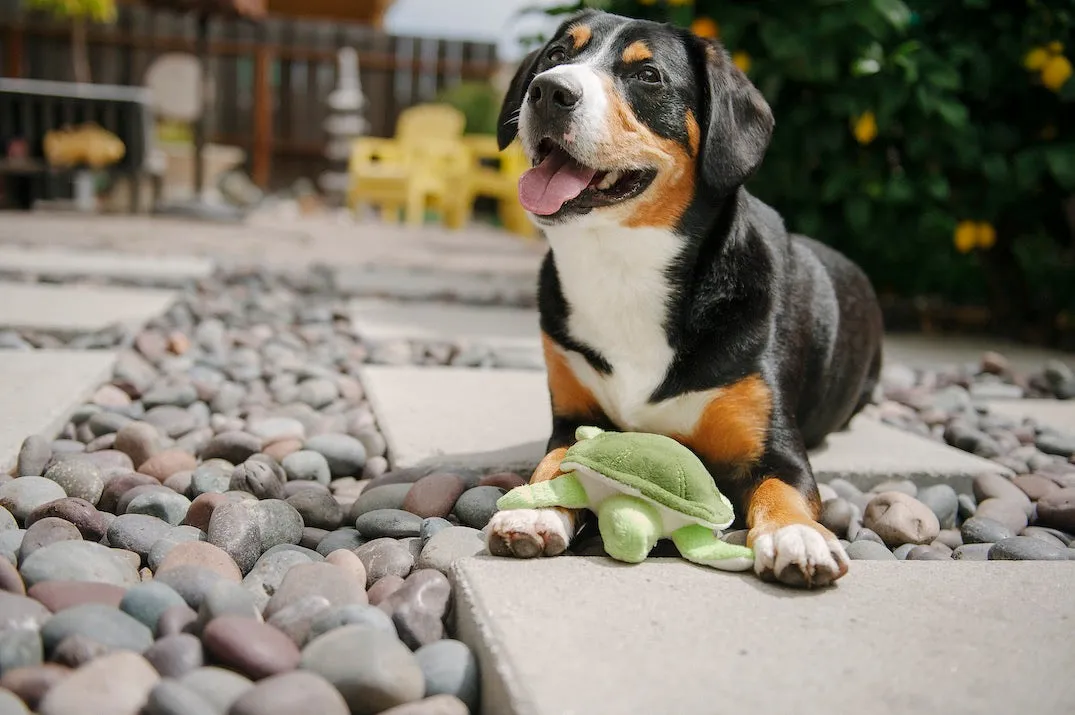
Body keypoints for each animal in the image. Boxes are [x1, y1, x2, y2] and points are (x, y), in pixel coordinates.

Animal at [488, 9, 881, 584]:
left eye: (648, 75)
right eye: (557, 55)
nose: (548, 90)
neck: (623, 267)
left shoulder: (776, 446)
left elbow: (781, 487)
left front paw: (797, 536)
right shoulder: (570, 418)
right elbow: (554, 461)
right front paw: (533, 510)